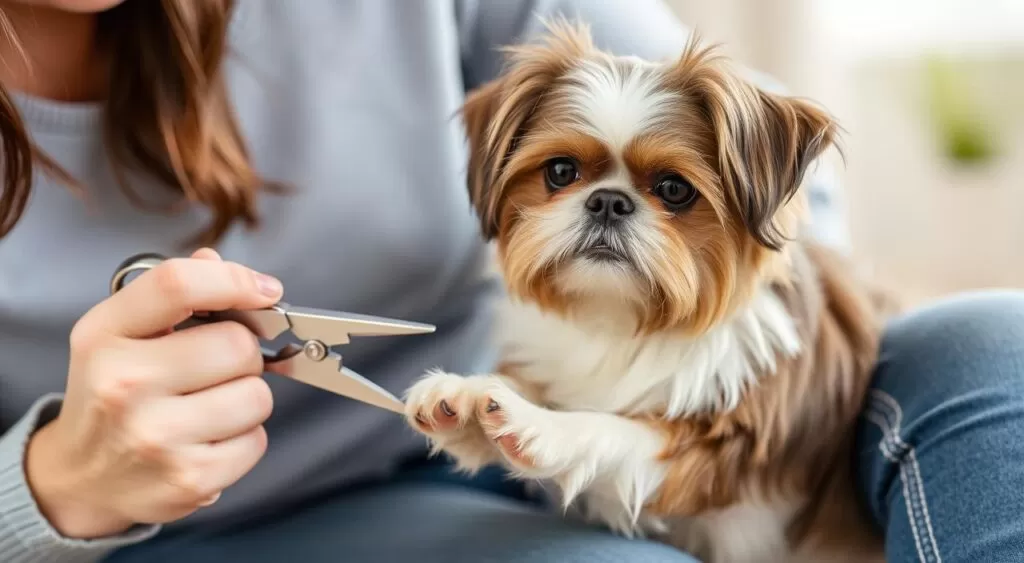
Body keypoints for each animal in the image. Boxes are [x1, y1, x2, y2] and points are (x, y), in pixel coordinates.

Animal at [405, 22, 888, 563]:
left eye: (674, 189)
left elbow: (611, 429)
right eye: (561, 172)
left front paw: (537, 425)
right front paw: (468, 397)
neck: (622, 322)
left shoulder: (719, 452)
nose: (608, 201)